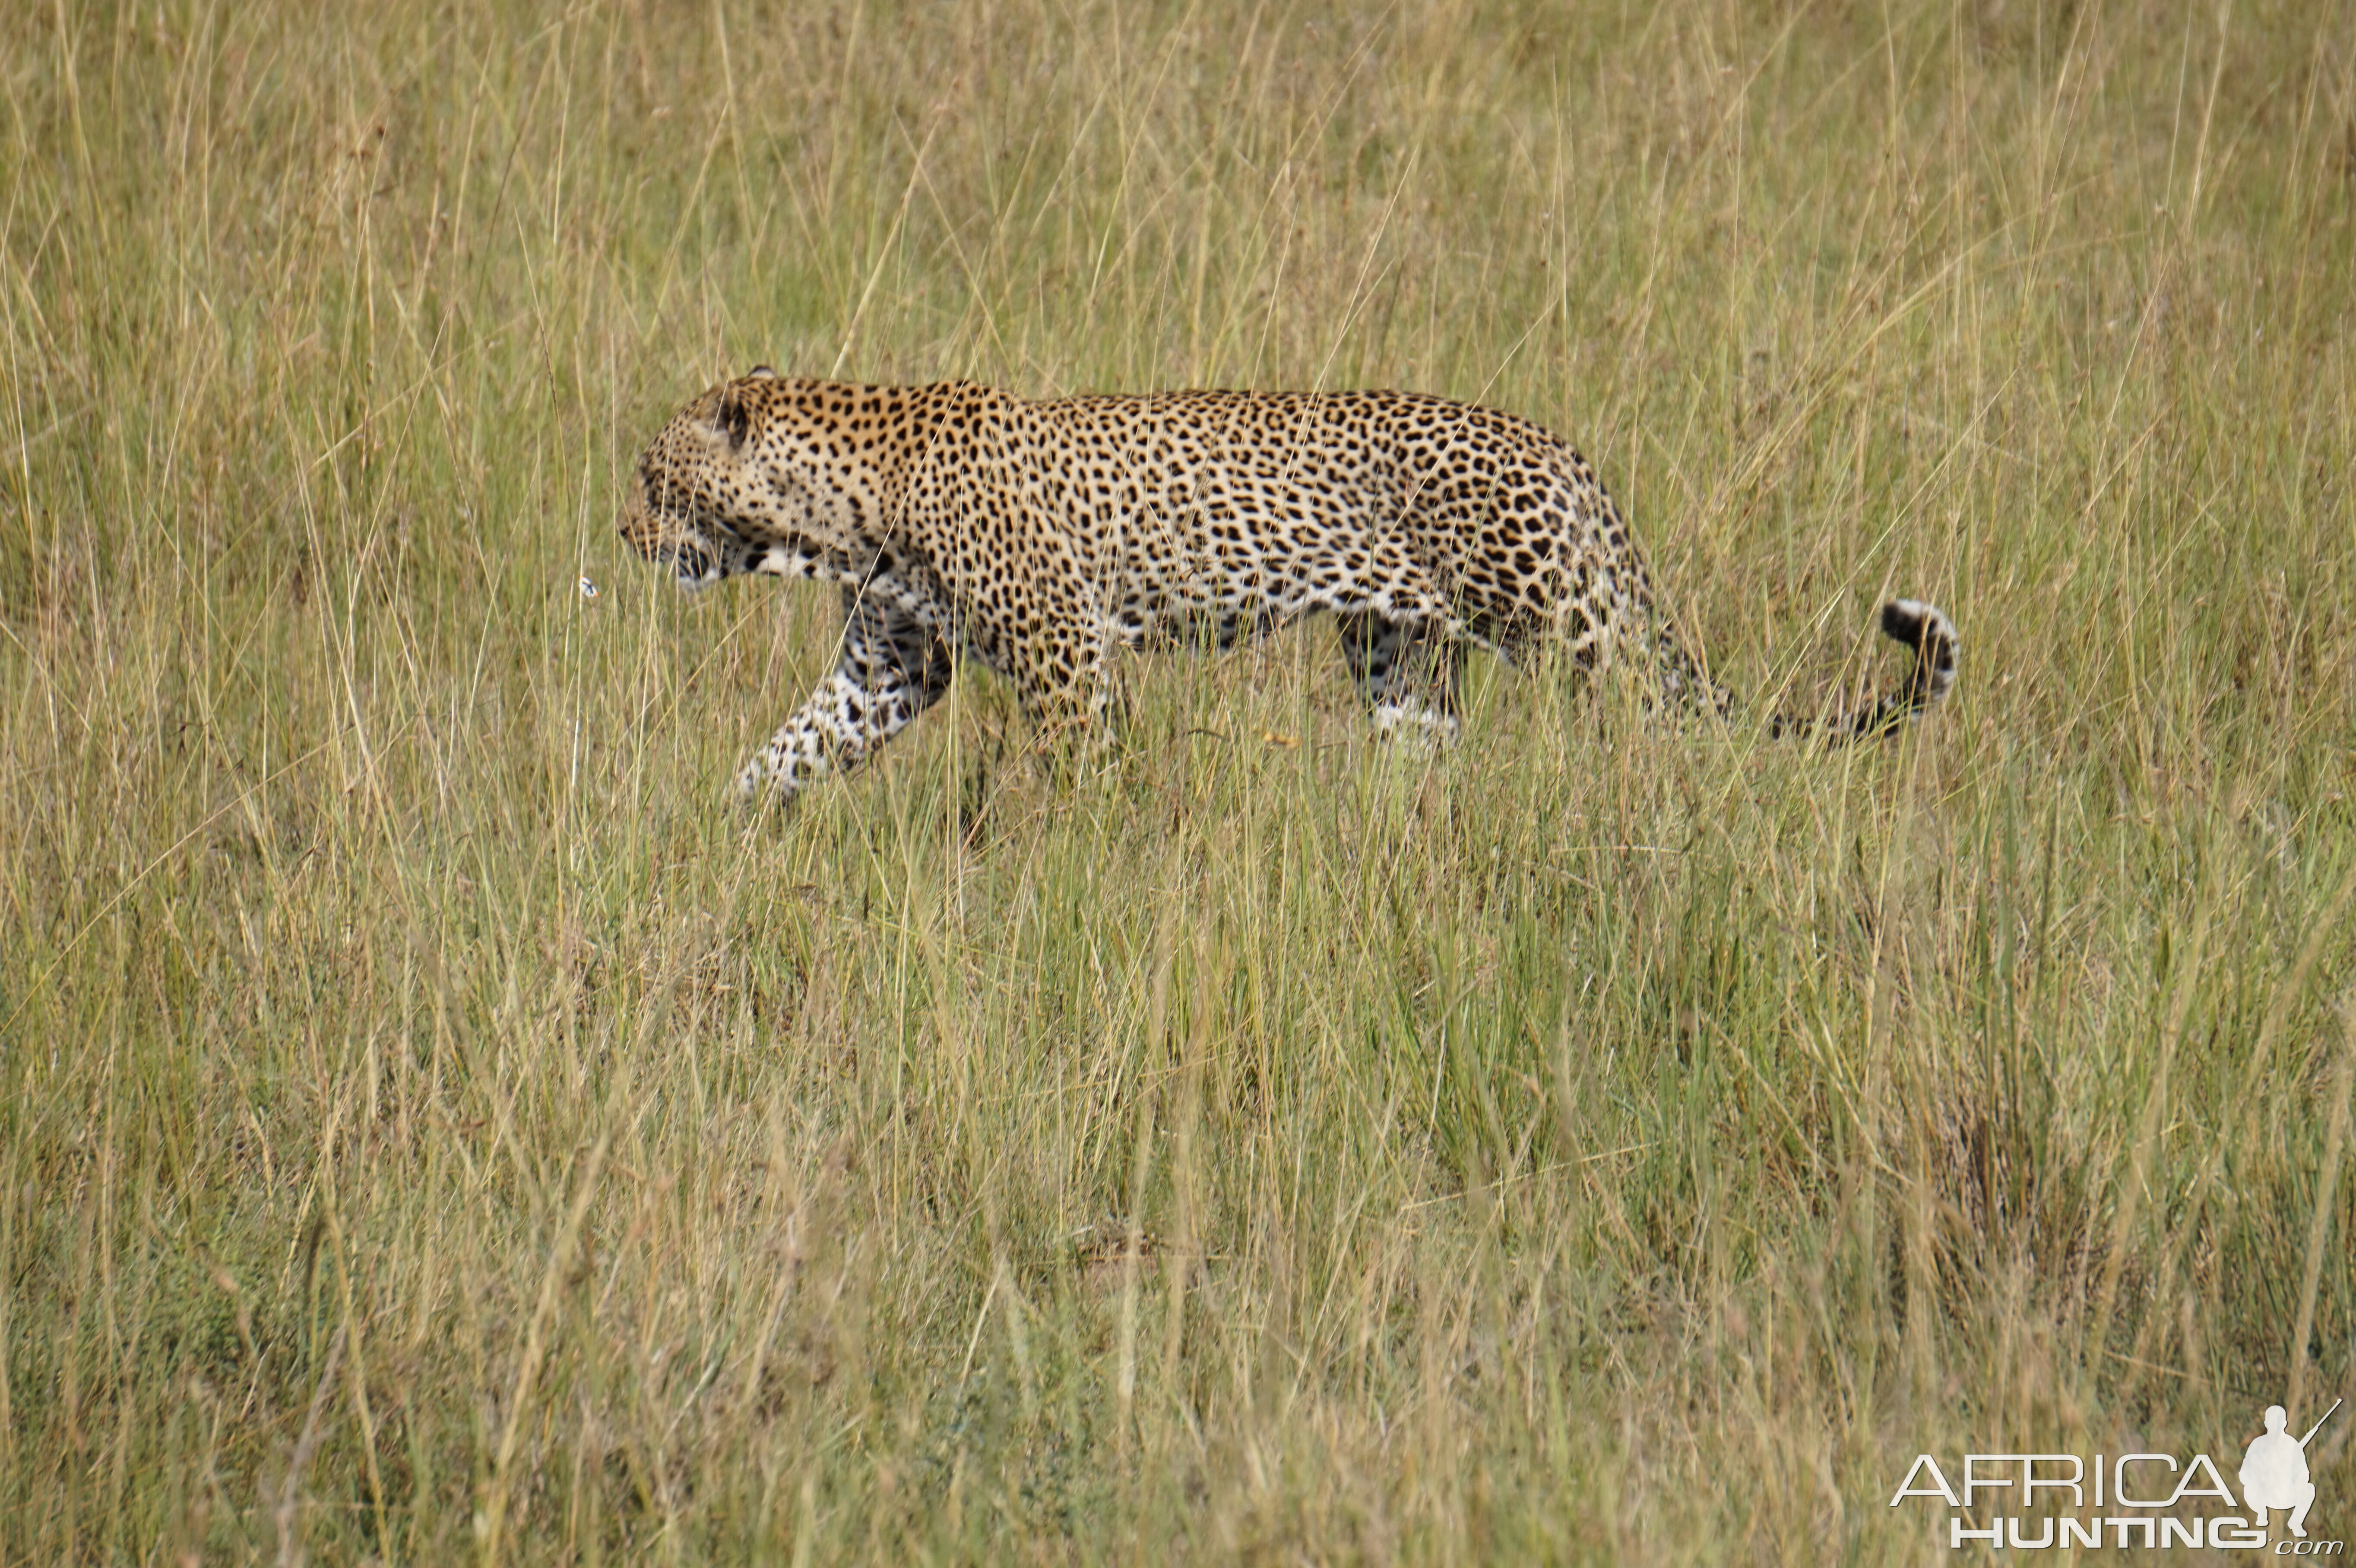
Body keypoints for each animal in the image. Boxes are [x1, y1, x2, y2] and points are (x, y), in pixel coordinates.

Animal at [612, 372, 1951, 800]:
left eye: (649, 473)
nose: (621, 532)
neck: (830, 516)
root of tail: (1566, 451)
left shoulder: (1063, 661)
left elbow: (1083, 782)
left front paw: (1076, 884)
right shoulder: (890, 665)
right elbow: (787, 749)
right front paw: (711, 837)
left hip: (1566, 621)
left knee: (1662, 724)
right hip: (1401, 661)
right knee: (1428, 764)